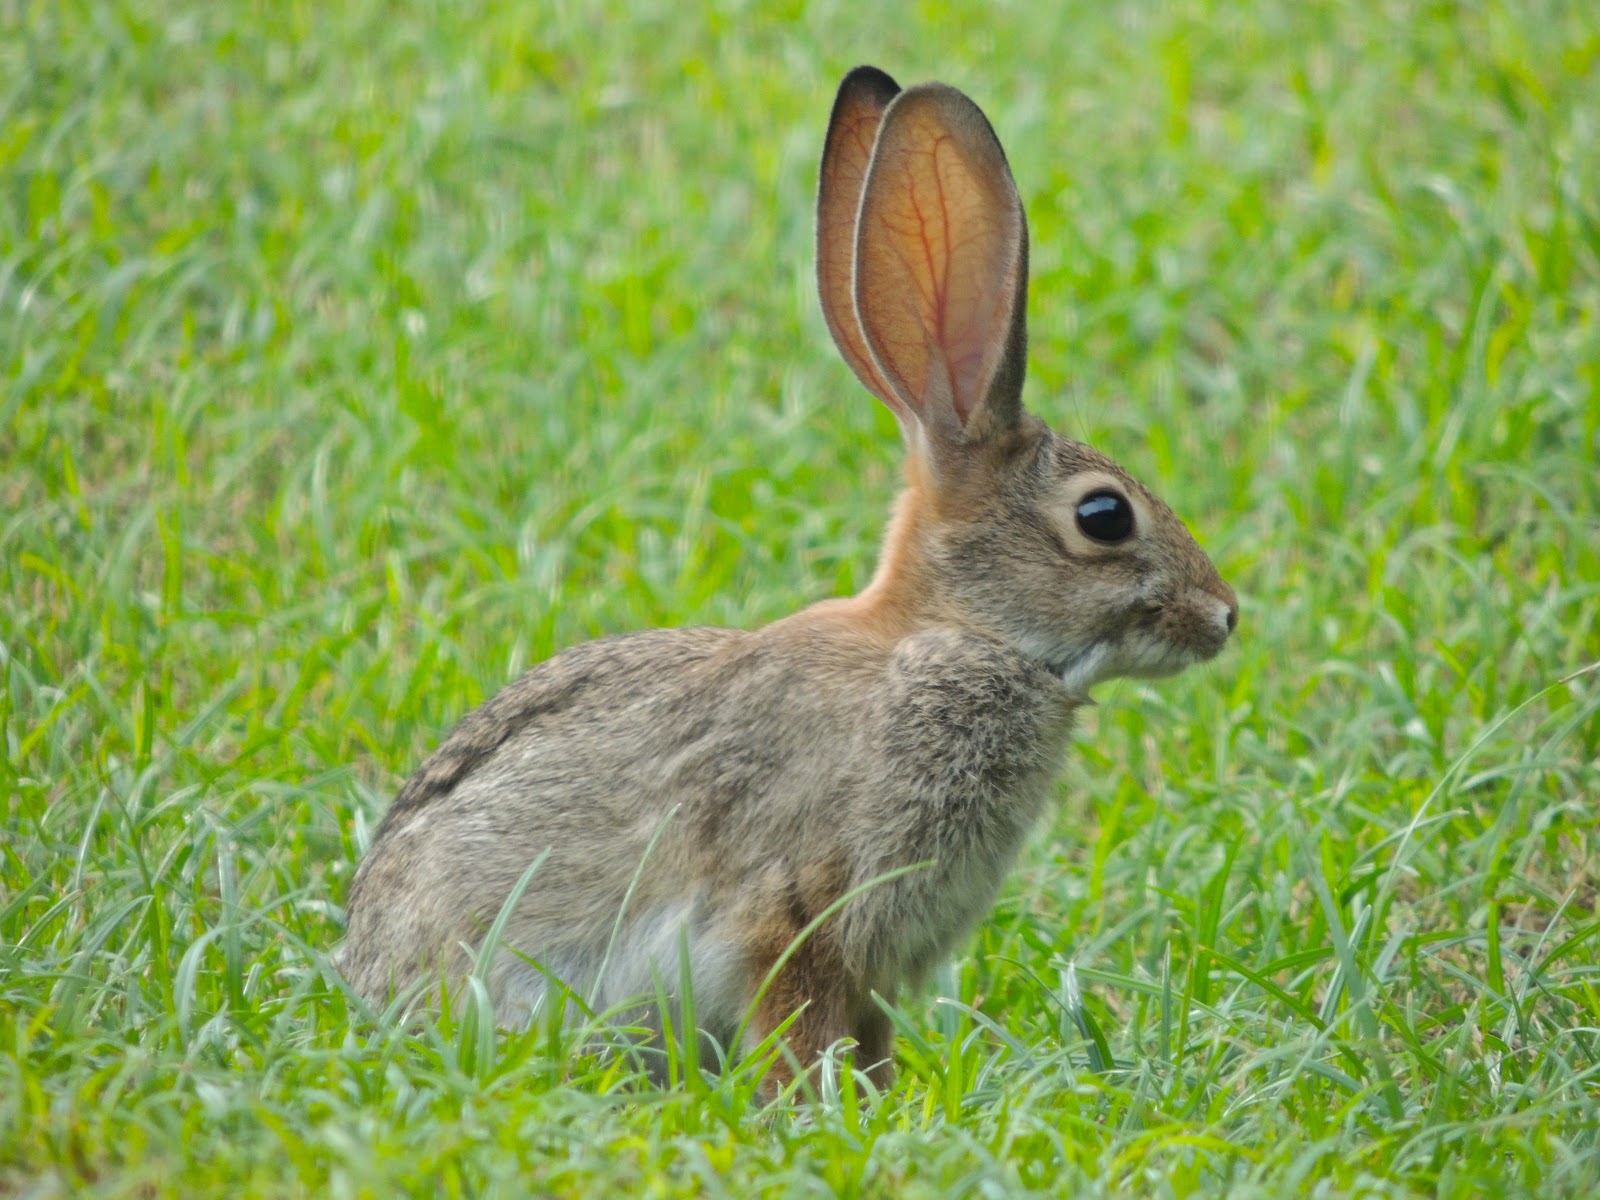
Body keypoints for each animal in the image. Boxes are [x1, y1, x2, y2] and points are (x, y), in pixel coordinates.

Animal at [337, 65, 1238, 1096]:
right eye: (1103, 517)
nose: (1223, 617)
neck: (948, 636)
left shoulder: (876, 962)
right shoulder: (795, 910)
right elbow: (798, 1024)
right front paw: (820, 1106)